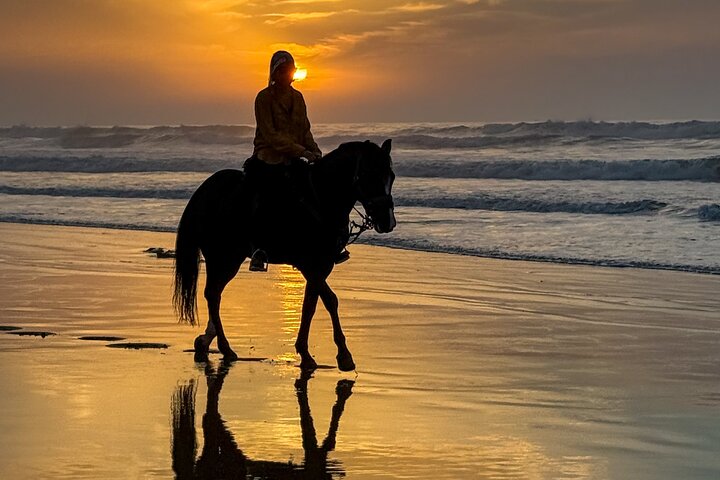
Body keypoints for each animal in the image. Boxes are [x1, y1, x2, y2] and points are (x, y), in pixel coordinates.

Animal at [173, 139, 396, 371]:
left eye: (392, 176)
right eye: (369, 175)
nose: (387, 221)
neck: (321, 198)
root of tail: (204, 191)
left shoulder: (321, 264)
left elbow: (315, 304)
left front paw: (318, 353)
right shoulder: (309, 264)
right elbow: (323, 302)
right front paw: (334, 354)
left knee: (214, 295)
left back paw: (207, 340)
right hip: (222, 257)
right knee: (213, 295)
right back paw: (225, 348)